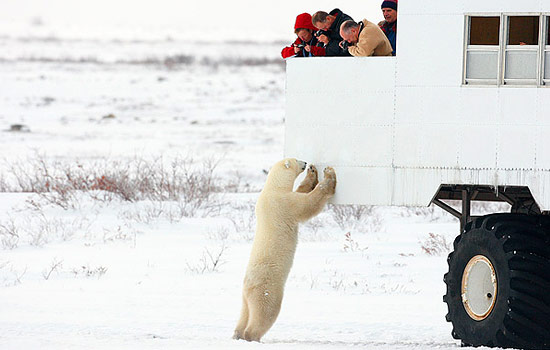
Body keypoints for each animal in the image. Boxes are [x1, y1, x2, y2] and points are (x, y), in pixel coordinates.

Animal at [233, 159, 336, 342]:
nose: (306, 163)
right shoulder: (283, 203)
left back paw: (237, 334)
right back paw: (252, 336)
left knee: (245, 313)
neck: (271, 188)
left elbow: (301, 191)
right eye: (296, 160)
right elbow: (307, 205)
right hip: (268, 290)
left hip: (245, 297)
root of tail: (248, 287)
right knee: (265, 313)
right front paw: (329, 176)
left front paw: (313, 173)